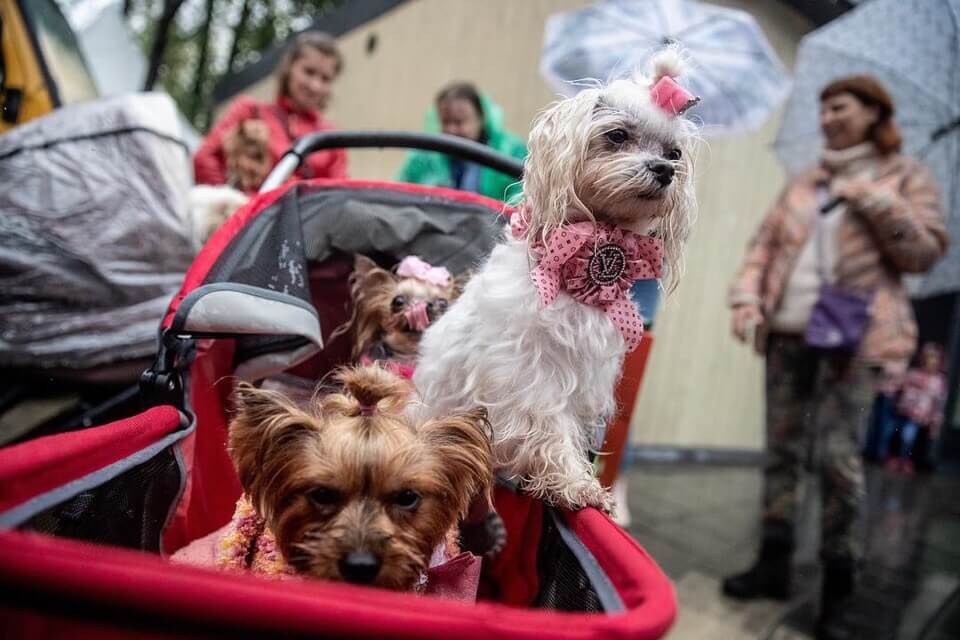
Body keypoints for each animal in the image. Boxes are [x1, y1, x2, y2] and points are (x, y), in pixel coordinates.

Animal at [412, 51, 696, 510]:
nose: (664, 170)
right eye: (617, 135)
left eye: (674, 153)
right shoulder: (532, 379)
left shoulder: (584, 379)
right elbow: (551, 431)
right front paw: (575, 484)